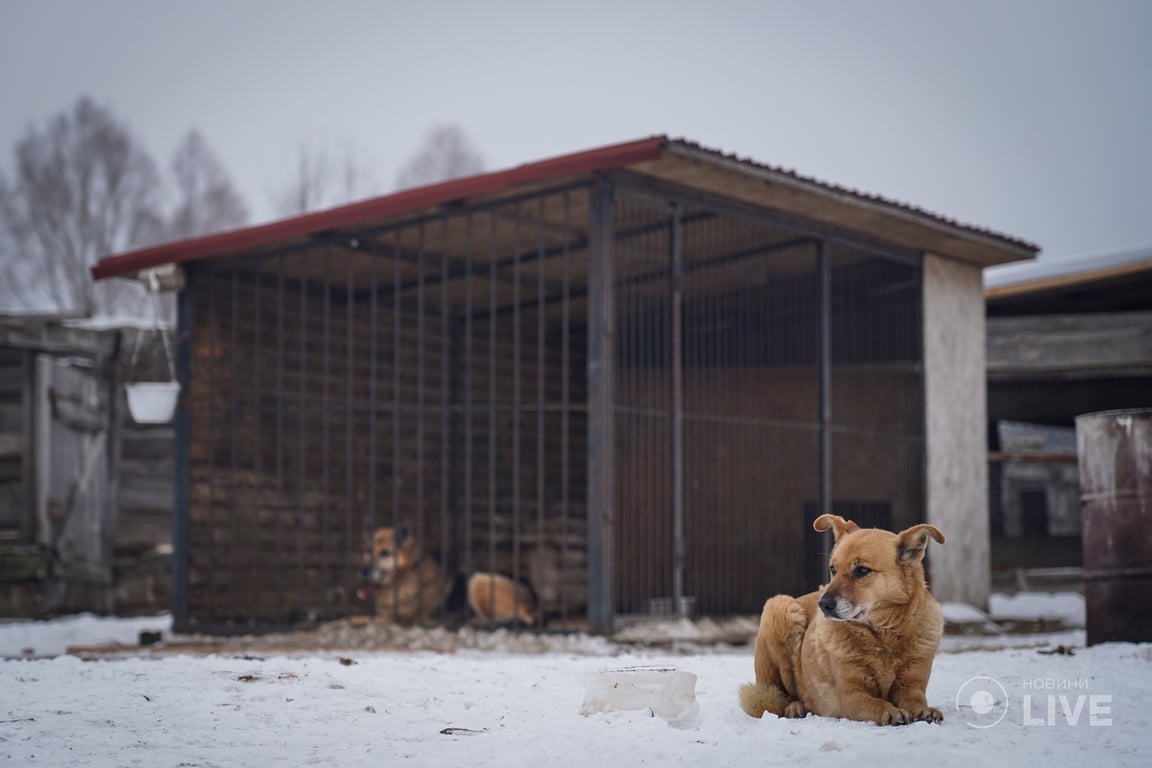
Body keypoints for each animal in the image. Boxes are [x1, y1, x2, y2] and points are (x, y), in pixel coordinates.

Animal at [361, 525, 536, 626]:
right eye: (368, 551)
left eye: (384, 553)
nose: (363, 571)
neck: (405, 576)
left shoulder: (402, 619)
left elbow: (362, 619)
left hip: (478, 580)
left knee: (519, 616)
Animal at [741, 515, 949, 727]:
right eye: (833, 569)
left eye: (862, 570)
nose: (823, 604)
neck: (883, 638)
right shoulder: (852, 696)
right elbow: (877, 703)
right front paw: (891, 711)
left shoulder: (910, 685)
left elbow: (916, 699)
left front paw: (924, 710)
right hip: (781, 608)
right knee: (784, 696)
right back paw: (795, 708)